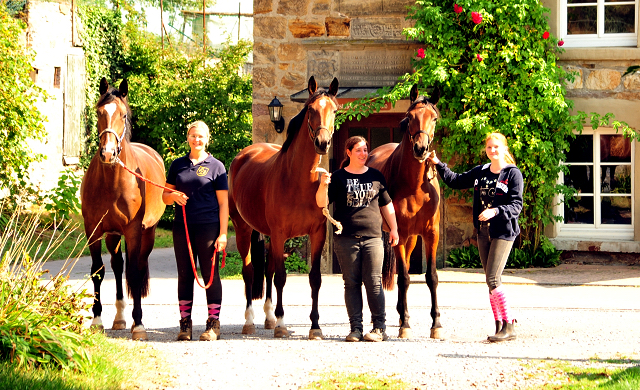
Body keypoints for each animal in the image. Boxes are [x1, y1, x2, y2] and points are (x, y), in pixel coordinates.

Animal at [80, 78, 166, 338]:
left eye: (123, 114)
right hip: (113, 235)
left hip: (147, 233)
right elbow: (98, 271)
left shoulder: (134, 232)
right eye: (99, 112)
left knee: (136, 265)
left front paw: (138, 324)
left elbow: (135, 273)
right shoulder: (93, 231)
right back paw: (118, 318)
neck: (112, 181)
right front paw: (97, 320)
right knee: (117, 266)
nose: (108, 153)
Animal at [230, 75, 340, 338]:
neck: (298, 180)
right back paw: (250, 321)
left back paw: (268, 317)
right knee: (249, 272)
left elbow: (315, 278)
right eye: (311, 110)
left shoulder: (317, 234)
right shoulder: (280, 234)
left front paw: (315, 326)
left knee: (267, 269)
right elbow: (281, 277)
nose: (323, 142)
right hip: (243, 229)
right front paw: (281, 324)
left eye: (334, 110)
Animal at [368, 84, 442, 338]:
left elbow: (431, 277)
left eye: (434, 118)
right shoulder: (398, 234)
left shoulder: (431, 234)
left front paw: (436, 324)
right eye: (410, 117)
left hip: (411, 238)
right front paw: (406, 325)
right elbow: (404, 278)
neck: (415, 186)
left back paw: (402, 313)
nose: (420, 149)